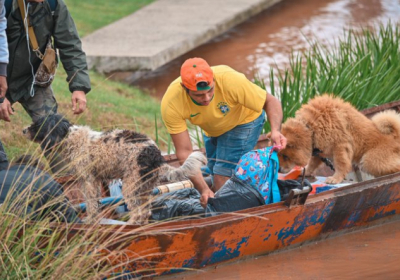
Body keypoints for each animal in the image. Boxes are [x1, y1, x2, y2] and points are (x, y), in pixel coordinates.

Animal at [22, 113, 206, 223]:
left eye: (36, 125)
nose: (23, 130)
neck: (69, 137)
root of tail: (157, 155)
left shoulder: (88, 180)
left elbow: (91, 204)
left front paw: (90, 220)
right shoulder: (95, 180)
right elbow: (95, 203)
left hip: (131, 186)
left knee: (138, 212)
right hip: (145, 188)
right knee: (145, 212)